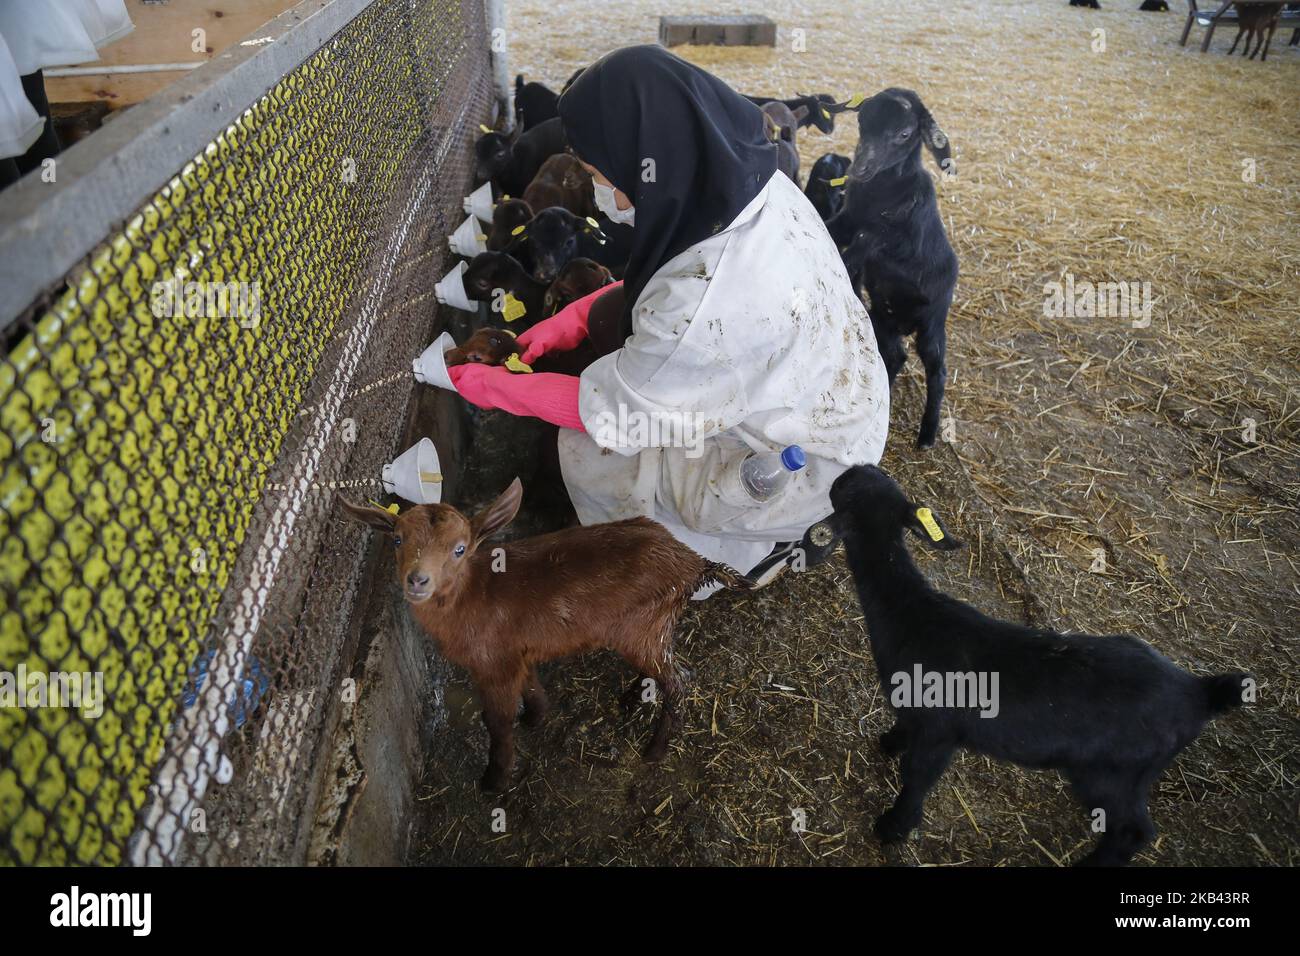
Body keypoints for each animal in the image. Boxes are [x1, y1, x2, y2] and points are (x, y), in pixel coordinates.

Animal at [340, 478, 748, 790]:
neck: (473, 595)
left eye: (459, 549)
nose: (417, 580)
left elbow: (497, 722)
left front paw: (494, 780)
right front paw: (536, 717)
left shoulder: (494, 664)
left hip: (645, 625)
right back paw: (631, 697)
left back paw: (654, 751)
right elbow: (532, 686)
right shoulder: (515, 652)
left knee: (680, 681)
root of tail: (695, 564)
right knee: (664, 671)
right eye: (397, 540)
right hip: (651, 628)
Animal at [816, 463, 1253, 868]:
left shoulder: (940, 731)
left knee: (1134, 830)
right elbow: (902, 731)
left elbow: (917, 778)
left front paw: (892, 827)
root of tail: (1198, 693)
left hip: (1113, 771)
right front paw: (888, 744)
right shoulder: (916, 712)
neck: (911, 613)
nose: (845, 473)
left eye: (847, 489)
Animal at [826, 89, 961, 447]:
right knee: (897, 355)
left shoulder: (891, 237)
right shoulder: (847, 219)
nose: (861, 167)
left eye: (904, 134)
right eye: (861, 121)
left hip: (932, 325)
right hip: (883, 316)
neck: (880, 193)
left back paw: (927, 434)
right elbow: (833, 229)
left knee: (938, 371)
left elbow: (863, 244)